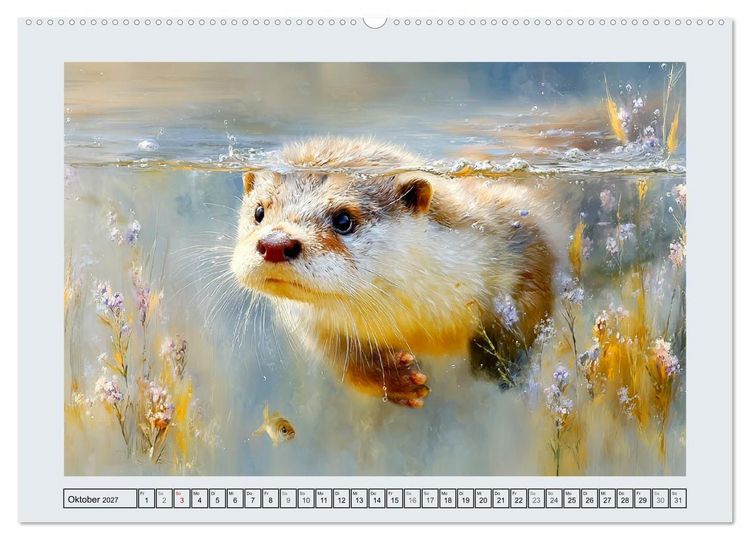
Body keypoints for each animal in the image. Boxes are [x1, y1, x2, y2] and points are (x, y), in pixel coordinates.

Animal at [231, 137, 557, 407]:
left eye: (344, 220)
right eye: (259, 212)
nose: (275, 244)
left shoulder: (519, 231)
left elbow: (536, 291)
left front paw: (498, 361)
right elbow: (341, 357)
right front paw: (394, 378)